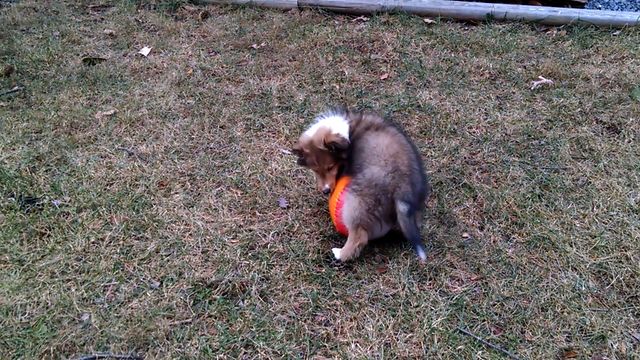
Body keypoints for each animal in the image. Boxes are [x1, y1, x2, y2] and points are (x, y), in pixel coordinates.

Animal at [294, 107, 432, 262]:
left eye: (330, 167)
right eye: (316, 170)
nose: (325, 191)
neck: (347, 131)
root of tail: (401, 188)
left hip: (357, 202)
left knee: (360, 236)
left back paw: (340, 253)